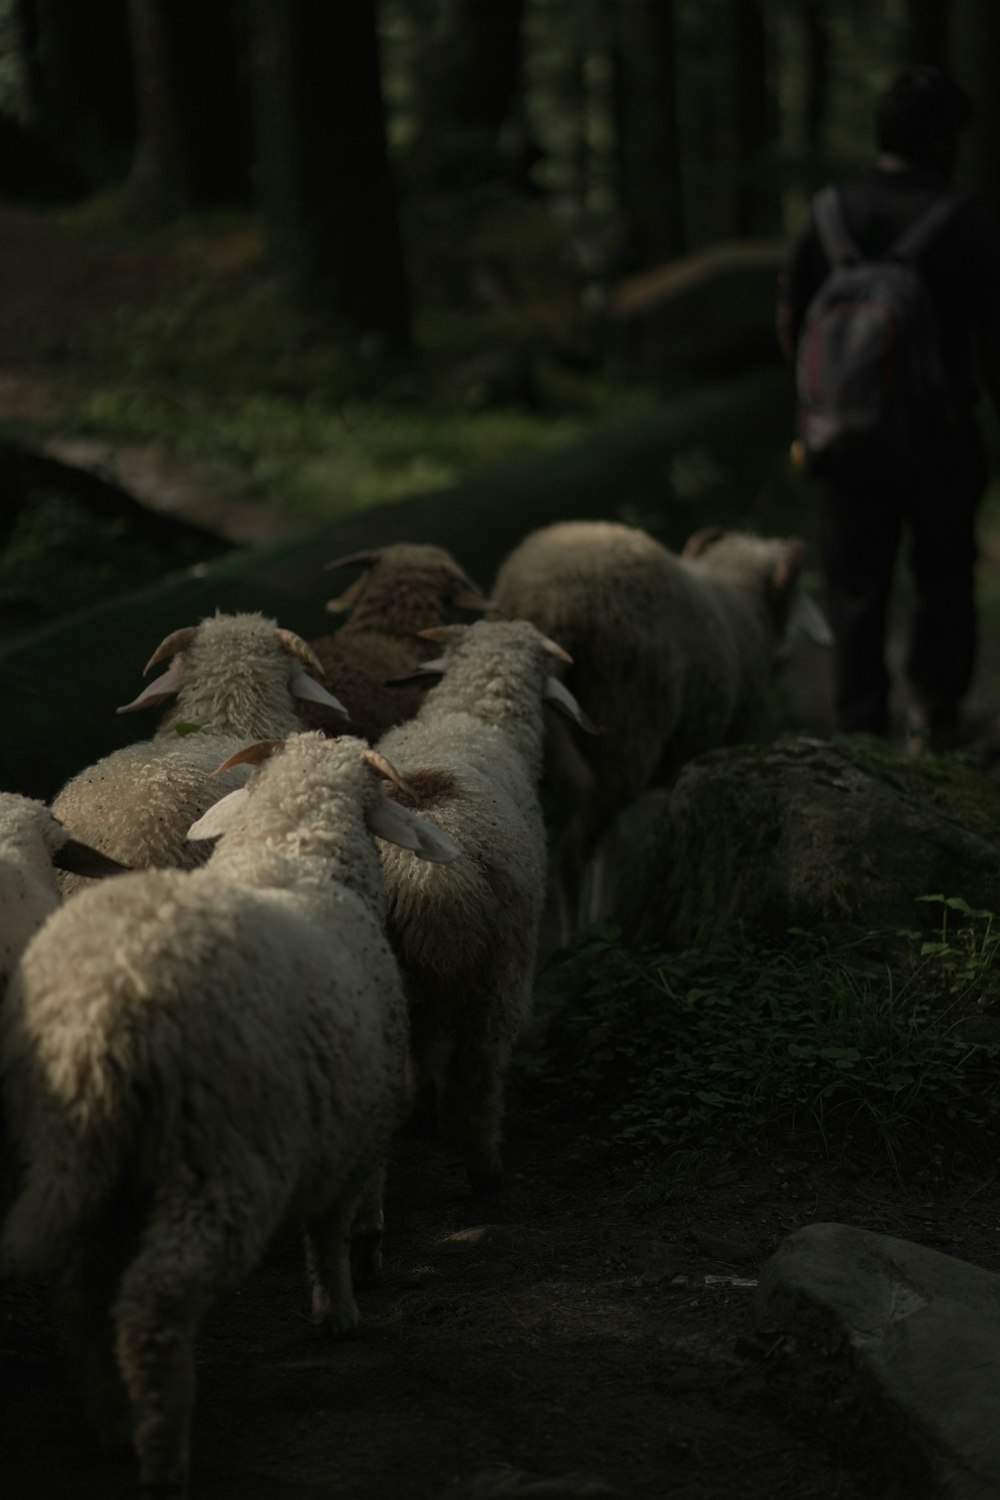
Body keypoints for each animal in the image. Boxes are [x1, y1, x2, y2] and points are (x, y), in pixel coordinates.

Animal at [1, 729, 455, 1500]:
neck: (292, 851)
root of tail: (101, 1012)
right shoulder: (356, 1127)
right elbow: (330, 1228)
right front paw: (338, 1312)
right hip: (221, 1160)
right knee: (152, 1305)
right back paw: (163, 1455)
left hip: (83, 1167)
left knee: (81, 1304)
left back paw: (113, 1425)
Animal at [373, 615, 593, 1188]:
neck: (472, 714)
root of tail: (426, 874)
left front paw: (422, 1111)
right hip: (506, 964)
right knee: (478, 1067)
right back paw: (484, 1166)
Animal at [488, 522, 827, 930]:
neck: (738, 599)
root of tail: (549, 604)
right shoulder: (728, 738)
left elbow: (615, 845)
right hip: (626, 731)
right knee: (571, 855)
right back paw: (576, 936)